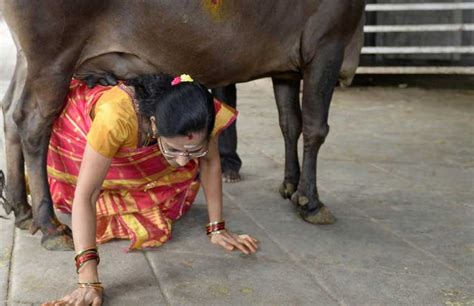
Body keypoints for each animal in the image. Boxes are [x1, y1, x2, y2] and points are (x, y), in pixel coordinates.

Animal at [0, 0, 364, 250]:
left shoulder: (288, 67)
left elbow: (290, 123)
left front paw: (290, 185)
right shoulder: (327, 42)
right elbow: (316, 127)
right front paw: (311, 201)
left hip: (30, 58)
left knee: (10, 113)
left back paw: (21, 209)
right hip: (53, 55)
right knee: (32, 123)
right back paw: (48, 224)